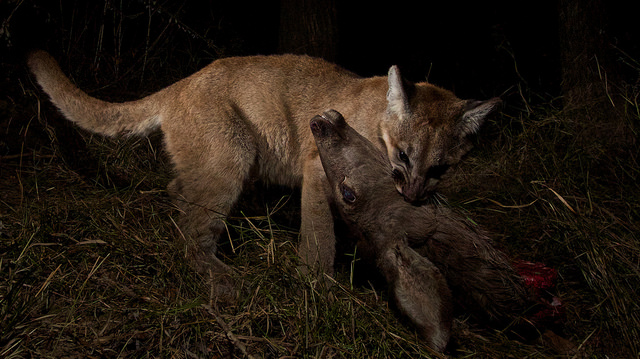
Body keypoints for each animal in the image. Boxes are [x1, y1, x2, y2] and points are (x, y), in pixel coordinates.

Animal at [28, 51, 500, 278]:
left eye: (440, 168)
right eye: (403, 155)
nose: (415, 195)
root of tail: (182, 83)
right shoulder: (318, 169)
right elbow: (320, 233)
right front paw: (316, 283)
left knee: (180, 193)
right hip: (231, 155)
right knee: (193, 228)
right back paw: (221, 280)